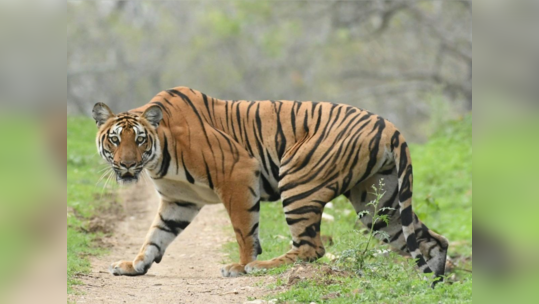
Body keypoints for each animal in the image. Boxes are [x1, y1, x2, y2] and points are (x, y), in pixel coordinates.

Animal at [94, 85, 452, 284]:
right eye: (115, 140)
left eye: (139, 140)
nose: (127, 165)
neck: (157, 157)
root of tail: (389, 125)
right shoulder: (178, 201)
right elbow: (156, 236)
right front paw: (134, 265)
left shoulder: (237, 174)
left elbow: (244, 232)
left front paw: (240, 266)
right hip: (378, 205)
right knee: (432, 240)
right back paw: (434, 285)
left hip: (298, 181)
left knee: (312, 247)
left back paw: (261, 267)